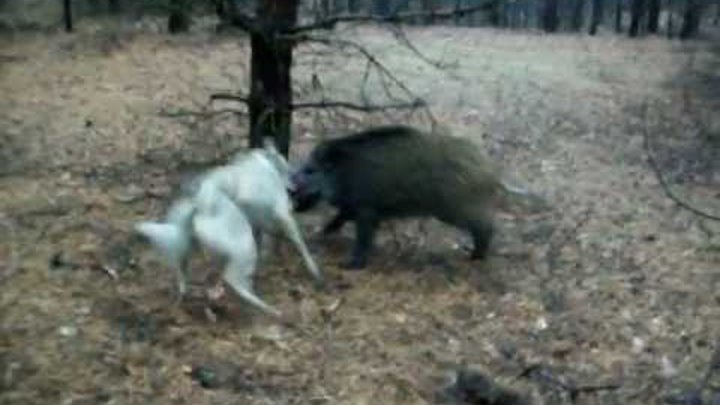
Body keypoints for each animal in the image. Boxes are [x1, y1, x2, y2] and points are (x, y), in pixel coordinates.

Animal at [134, 139, 324, 316]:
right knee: (233, 280)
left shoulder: (260, 222)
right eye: (284, 165)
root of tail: (198, 205)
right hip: (243, 244)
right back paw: (269, 309)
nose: (294, 185)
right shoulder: (282, 214)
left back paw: (184, 295)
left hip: (188, 243)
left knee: (182, 270)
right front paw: (313, 269)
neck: (262, 162)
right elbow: (299, 243)